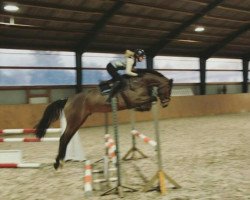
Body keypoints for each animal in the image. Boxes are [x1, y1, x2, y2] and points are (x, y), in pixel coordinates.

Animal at [34, 69, 172, 169]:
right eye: (168, 89)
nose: (166, 104)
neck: (139, 83)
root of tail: (68, 99)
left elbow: (147, 105)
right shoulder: (135, 100)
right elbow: (151, 99)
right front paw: (152, 99)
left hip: (79, 121)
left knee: (67, 138)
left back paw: (60, 161)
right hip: (74, 121)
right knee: (63, 138)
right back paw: (58, 163)